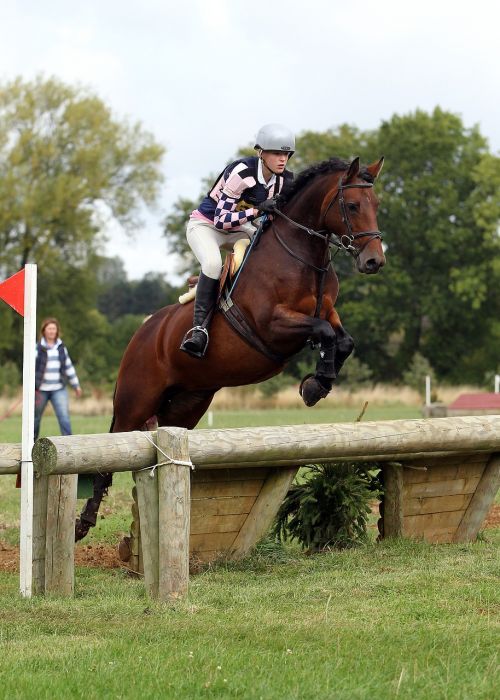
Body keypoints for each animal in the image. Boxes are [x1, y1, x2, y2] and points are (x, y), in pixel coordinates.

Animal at [75, 156, 386, 540]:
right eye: (353, 205)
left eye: (376, 205)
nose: (374, 261)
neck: (302, 256)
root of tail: (143, 331)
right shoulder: (272, 325)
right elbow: (325, 332)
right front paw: (314, 385)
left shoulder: (327, 310)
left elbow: (342, 339)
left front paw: (318, 383)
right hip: (136, 400)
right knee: (110, 453)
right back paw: (83, 523)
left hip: (187, 404)